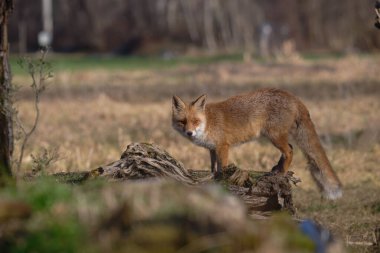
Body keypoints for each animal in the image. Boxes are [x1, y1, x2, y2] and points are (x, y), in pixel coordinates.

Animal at [171, 89, 342, 200]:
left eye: (195, 121)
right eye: (183, 122)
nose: (189, 133)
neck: (208, 122)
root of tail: (292, 96)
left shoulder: (223, 146)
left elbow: (223, 167)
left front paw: (222, 181)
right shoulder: (212, 149)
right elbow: (213, 167)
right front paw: (211, 177)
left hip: (274, 136)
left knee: (290, 151)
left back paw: (281, 173)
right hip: (275, 136)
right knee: (290, 148)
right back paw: (276, 168)